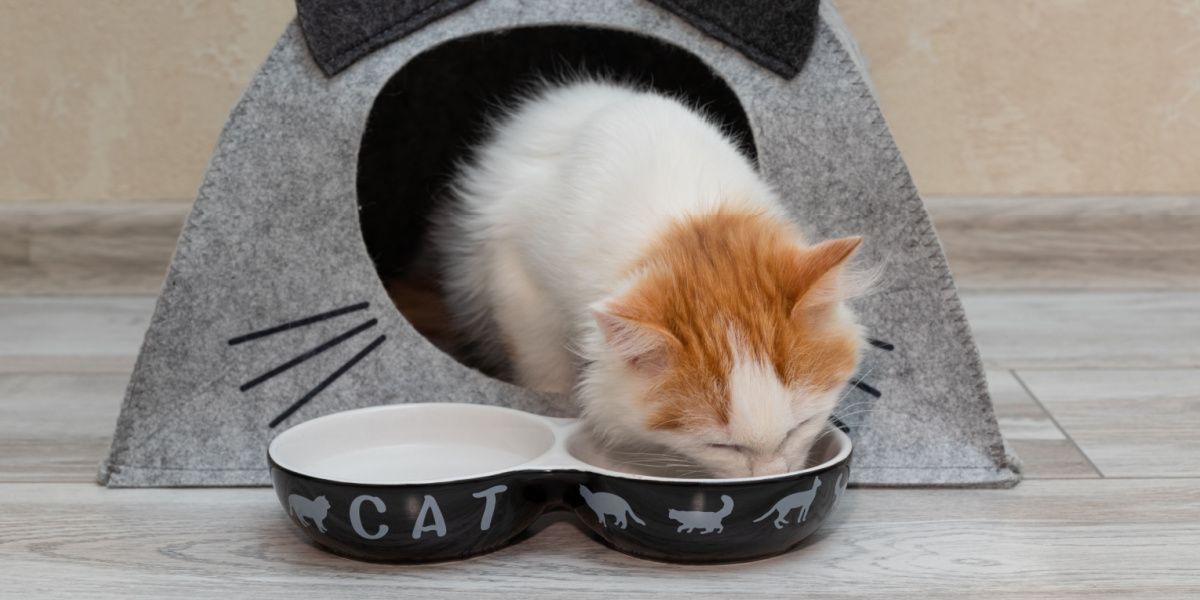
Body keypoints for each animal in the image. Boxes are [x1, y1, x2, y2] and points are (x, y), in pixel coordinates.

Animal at [436, 79, 868, 475]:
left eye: (800, 427)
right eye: (721, 446)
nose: (771, 476)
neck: (688, 216)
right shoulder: (518, 282)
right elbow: (545, 370)